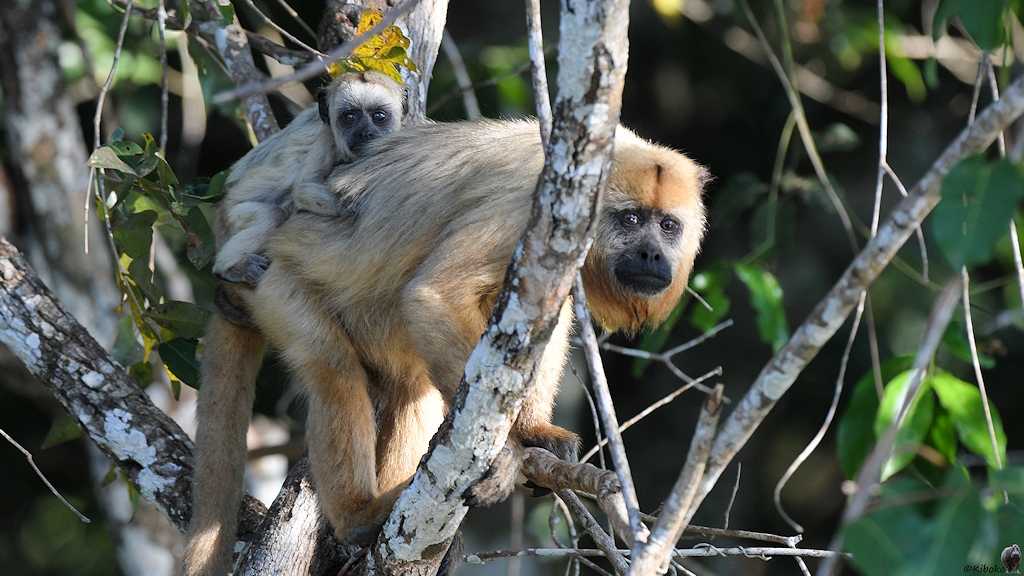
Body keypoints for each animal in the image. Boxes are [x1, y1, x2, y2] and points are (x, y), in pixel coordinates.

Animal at [183, 119, 708, 576]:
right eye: (631, 219)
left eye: (668, 226)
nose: (651, 254)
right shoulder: (526, 207)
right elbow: (436, 294)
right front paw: (508, 452)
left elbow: (546, 321)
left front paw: (534, 430)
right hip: (273, 281)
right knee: (334, 367)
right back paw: (358, 516)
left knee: (412, 387)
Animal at [212, 70, 406, 287]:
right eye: (350, 117)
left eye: (378, 116)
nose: (365, 133)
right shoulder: (326, 139)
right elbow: (304, 189)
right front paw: (353, 205)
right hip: (231, 215)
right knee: (272, 215)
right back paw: (228, 269)